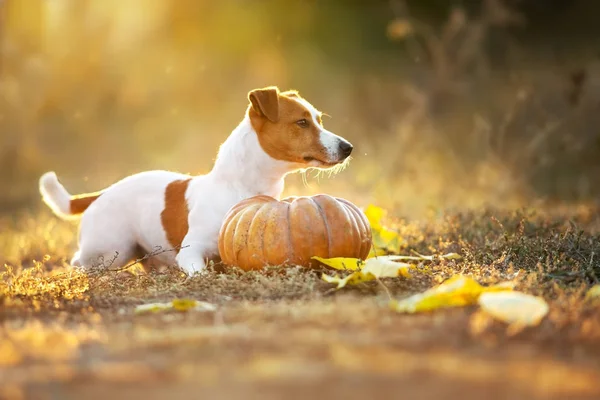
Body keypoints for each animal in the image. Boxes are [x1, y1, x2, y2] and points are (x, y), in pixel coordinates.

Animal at [39, 86, 352, 276]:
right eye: (302, 122)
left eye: (319, 120)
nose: (348, 147)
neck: (242, 186)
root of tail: (100, 194)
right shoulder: (192, 251)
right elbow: (199, 270)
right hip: (112, 248)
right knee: (80, 261)